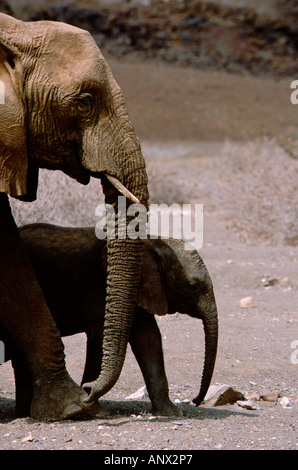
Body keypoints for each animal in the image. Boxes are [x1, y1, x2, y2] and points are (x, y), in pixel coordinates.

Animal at [1, 224, 218, 418]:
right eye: (192, 286)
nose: (195, 400)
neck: (153, 241)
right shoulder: (99, 286)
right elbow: (101, 338)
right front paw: (95, 410)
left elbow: (149, 340)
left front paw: (171, 414)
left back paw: (24, 413)